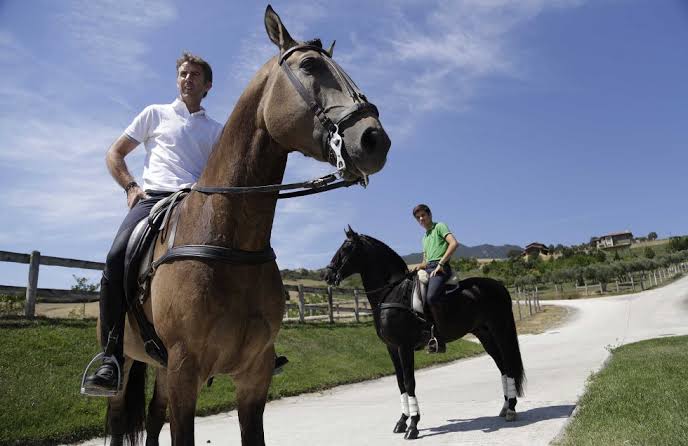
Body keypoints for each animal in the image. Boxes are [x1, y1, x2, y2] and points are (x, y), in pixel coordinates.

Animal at [103, 6, 392, 446]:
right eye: (310, 66)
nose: (374, 139)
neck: (227, 241)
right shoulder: (185, 371)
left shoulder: (253, 376)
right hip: (127, 368)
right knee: (121, 418)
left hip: (161, 369)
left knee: (153, 415)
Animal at [326, 228, 524, 440]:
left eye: (346, 248)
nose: (327, 275)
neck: (392, 292)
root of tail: (499, 287)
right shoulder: (392, 348)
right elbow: (400, 383)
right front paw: (402, 421)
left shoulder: (404, 347)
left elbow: (409, 382)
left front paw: (413, 425)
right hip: (485, 335)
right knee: (502, 367)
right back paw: (505, 407)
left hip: (500, 330)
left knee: (509, 365)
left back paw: (511, 410)